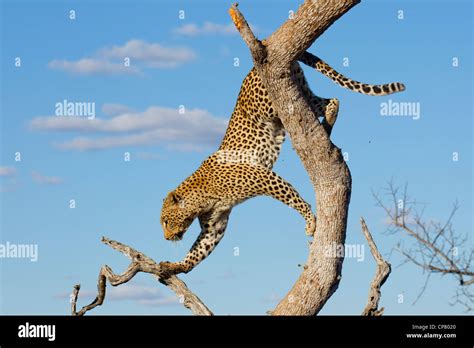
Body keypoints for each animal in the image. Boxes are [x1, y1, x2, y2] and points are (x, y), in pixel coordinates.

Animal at [158, 51, 404, 276]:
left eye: (166, 221)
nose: (167, 238)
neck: (200, 199)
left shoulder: (262, 178)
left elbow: (292, 198)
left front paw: (310, 222)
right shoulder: (214, 226)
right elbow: (197, 252)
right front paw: (175, 267)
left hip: (272, 104)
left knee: (307, 105)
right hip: (300, 90)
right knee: (331, 101)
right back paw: (326, 126)